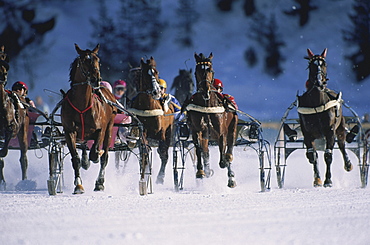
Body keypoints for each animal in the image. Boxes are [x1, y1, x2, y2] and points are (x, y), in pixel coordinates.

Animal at [61, 43, 117, 193]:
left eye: (98, 60)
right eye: (84, 60)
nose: (95, 79)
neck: (82, 105)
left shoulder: (100, 130)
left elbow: (96, 153)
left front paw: (96, 155)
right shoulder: (69, 131)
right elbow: (75, 158)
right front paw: (78, 185)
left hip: (109, 128)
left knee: (105, 157)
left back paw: (99, 181)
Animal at [130, 56, 175, 185]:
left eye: (156, 72)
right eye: (145, 74)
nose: (157, 91)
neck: (147, 108)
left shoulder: (161, 133)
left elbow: (163, 153)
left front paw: (160, 177)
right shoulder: (141, 131)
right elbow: (144, 150)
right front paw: (143, 175)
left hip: (169, 130)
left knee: (164, 153)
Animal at [184, 53, 238, 188]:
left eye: (211, 70)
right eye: (197, 71)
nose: (205, 91)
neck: (207, 106)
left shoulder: (221, 132)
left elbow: (223, 156)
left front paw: (225, 164)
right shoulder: (197, 131)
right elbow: (199, 150)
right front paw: (201, 171)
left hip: (233, 125)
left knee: (229, 146)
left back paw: (231, 175)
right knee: (206, 152)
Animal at [296, 48, 352, 188]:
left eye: (324, 64)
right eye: (311, 65)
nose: (319, 82)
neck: (317, 103)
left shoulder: (330, 131)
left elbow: (328, 155)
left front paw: (328, 180)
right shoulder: (307, 132)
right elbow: (312, 155)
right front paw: (317, 179)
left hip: (340, 126)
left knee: (342, 144)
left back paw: (348, 164)